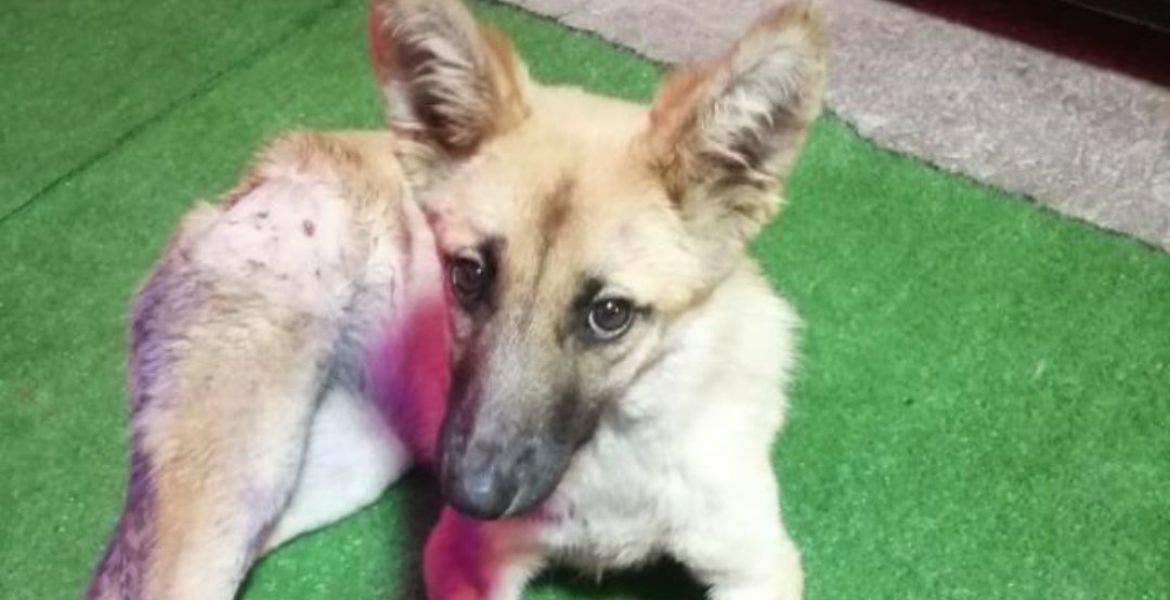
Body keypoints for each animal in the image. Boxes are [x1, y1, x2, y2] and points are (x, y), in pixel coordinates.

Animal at [85, 0, 826, 598]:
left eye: (609, 314)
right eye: (468, 274)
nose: (469, 494)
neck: (613, 452)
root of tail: (275, 165)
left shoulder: (758, 563)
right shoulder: (461, 560)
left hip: (338, 469)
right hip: (241, 475)